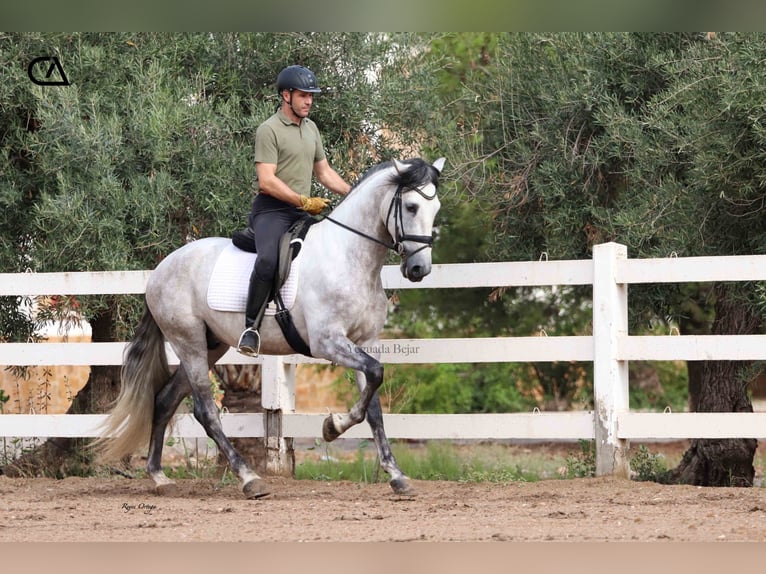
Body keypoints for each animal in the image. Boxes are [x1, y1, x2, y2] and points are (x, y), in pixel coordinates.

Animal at [94, 156, 444, 500]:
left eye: (436, 208)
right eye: (411, 206)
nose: (419, 269)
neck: (349, 258)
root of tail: (161, 268)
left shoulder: (365, 341)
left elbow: (373, 405)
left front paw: (397, 475)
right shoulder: (327, 342)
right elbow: (374, 376)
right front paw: (332, 426)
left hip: (210, 346)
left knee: (165, 400)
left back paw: (159, 477)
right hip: (188, 341)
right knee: (205, 410)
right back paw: (249, 478)